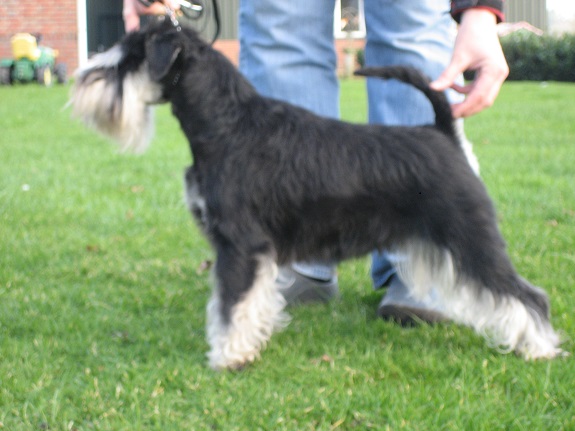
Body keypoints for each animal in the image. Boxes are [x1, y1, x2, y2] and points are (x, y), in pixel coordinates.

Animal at [71, 19, 564, 372]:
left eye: (125, 61)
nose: (80, 81)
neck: (226, 122)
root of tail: (442, 132)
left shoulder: (239, 245)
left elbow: (230, 305)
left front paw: (228, 356)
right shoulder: (251, 252)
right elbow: (246, 301)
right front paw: (246, 345)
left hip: (471, 238)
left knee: (526, 296)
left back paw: (539, 349)